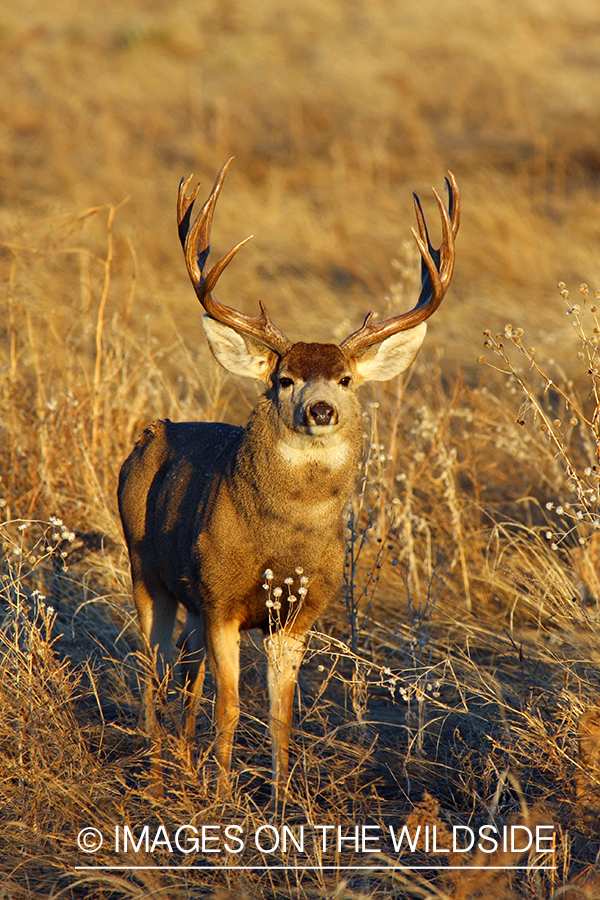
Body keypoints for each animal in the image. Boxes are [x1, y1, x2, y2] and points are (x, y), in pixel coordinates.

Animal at [119, 158, 462, 800]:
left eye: (347, 379)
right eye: (284, 379)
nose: (320, 409)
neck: (283, 543)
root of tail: (152, 433)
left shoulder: (298, 613)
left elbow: (281, 714)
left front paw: (280, 802)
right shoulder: (222, 598)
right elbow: (230, 706)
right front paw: (223, 798)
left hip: (188, 597)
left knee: (184, 673)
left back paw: (181, 762)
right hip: (145, 569)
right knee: (154, 669)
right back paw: (155, 775)